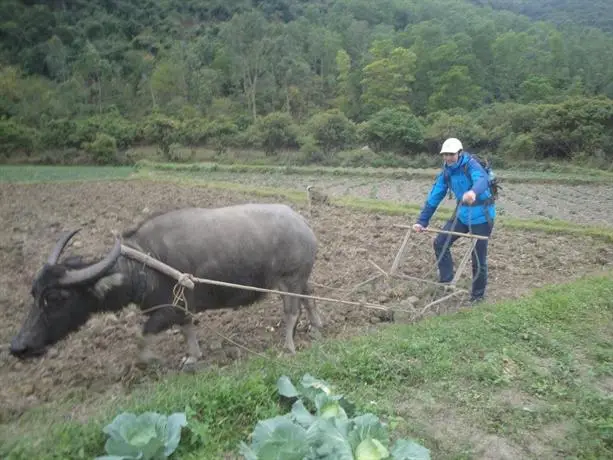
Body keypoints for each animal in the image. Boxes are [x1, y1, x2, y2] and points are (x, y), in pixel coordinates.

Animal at [9, 204, 322, 366]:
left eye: (56, 298)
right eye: (34, 293)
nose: (18, 347)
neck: (145, 265)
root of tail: (303, 224)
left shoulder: (168, 308)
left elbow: (144, 333)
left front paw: (148, 360)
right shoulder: (180, 308)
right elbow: (187, 330)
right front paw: (193, 357)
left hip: (291, 278)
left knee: (291, 311)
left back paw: (289, 346)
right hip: (298, 279)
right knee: (310, 296)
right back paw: (317, 328)